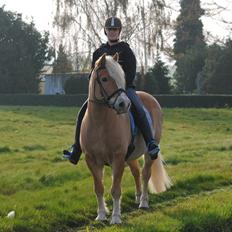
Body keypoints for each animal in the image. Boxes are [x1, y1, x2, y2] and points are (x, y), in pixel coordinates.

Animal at [80, 53, 172, 225]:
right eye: (104, 79)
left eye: (121, 77)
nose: (124, 104)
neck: (100, 123)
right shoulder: (92, 160)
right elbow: (99, 188)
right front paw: (101, 215)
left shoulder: (118, 158)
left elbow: (115, 189)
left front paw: (116, 217)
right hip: (131, 156)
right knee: (136, 172)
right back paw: (137, 197)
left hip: (149, 152)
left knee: (145, 174)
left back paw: (143, 202)